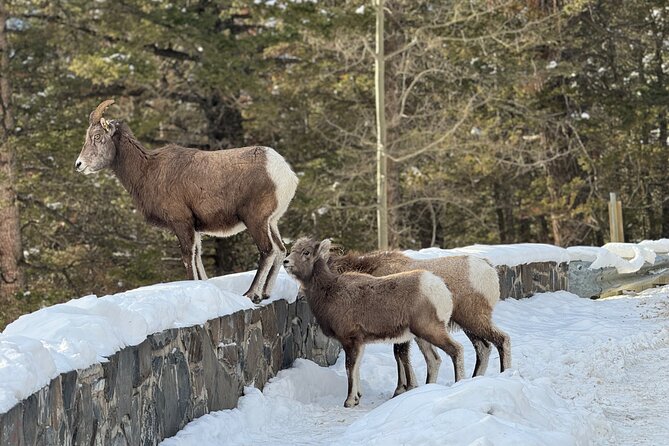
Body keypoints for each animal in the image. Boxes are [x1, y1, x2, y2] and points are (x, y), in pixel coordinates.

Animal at [284, 237, 464, 408]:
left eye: (306, 252)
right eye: (292, 250)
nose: (286, 262)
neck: (329, 292)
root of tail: (440, 288)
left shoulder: (350, 340)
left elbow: (350, 368)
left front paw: (349, 401)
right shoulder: (359, 342)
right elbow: (357, 368)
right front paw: (357, 398)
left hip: (430, 330)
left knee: (456, 350)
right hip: (422, 336)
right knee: (434, 360)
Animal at [330, 251, 512, 394]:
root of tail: (489, 268)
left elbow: (400, 354)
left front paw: (403, 389)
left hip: (472, 319)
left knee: (501, 340)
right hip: (467, 325)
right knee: (483, 347)